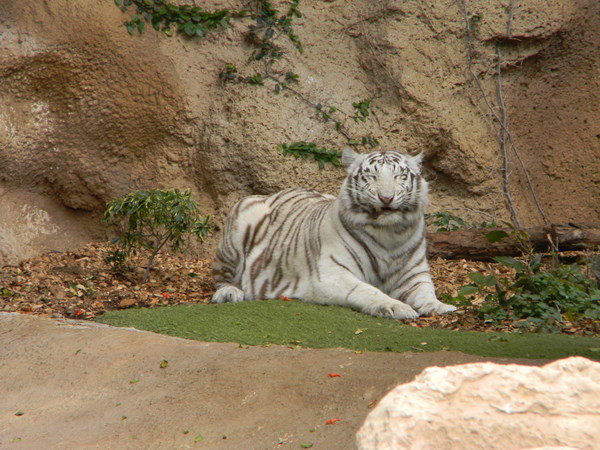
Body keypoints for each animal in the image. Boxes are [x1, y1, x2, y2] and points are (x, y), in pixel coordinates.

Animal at [211, 148, 457, 320]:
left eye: (400, 176)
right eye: (371, 177)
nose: (386, 198)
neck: (389, 234)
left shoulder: (414, 275)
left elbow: (425, 292)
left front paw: (440, 307)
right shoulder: (331, 274)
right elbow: (367, 291)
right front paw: (395, 307)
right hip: (240, 222)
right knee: (222, 278)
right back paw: (229, 293)